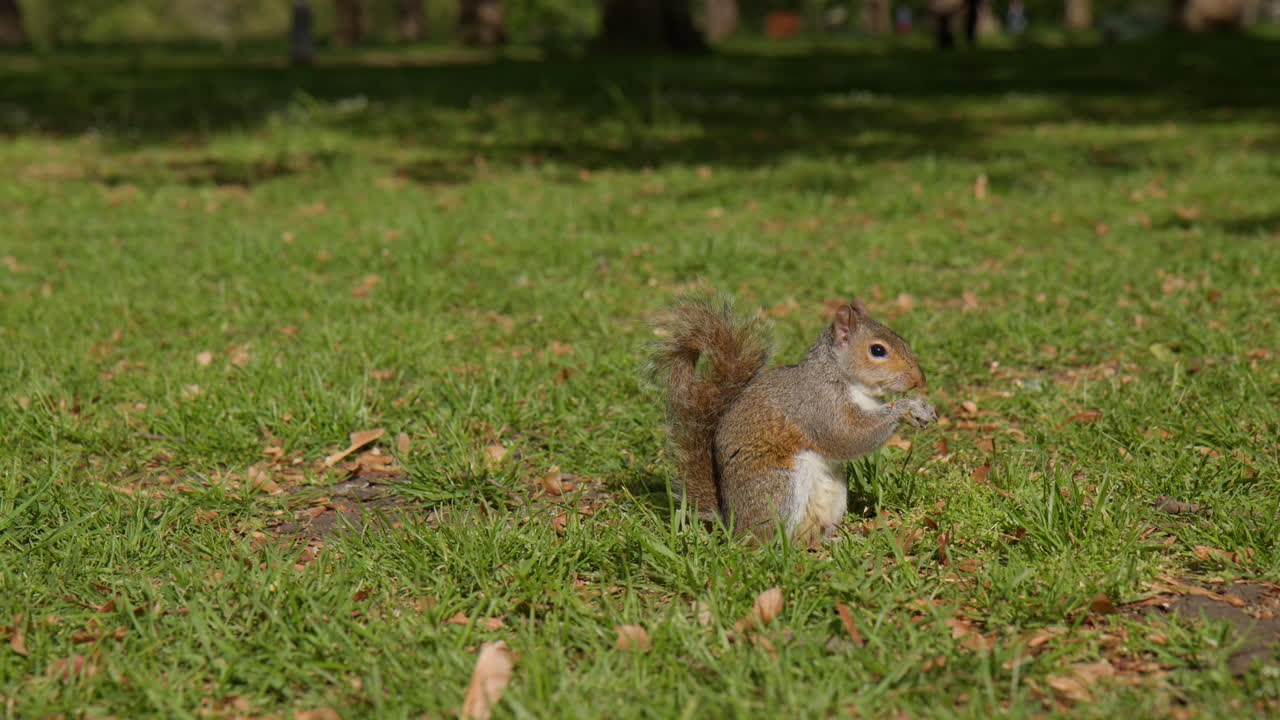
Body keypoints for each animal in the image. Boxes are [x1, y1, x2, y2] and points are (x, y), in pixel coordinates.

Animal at [649, 296, 937, 547]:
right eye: (877, 350)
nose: (919, 380)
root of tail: (731, 522)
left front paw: (922, 407)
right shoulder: (816, 406)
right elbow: (847, 437)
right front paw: (907, 407)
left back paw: (835, 541)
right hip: (778, 488)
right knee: (765, 540)